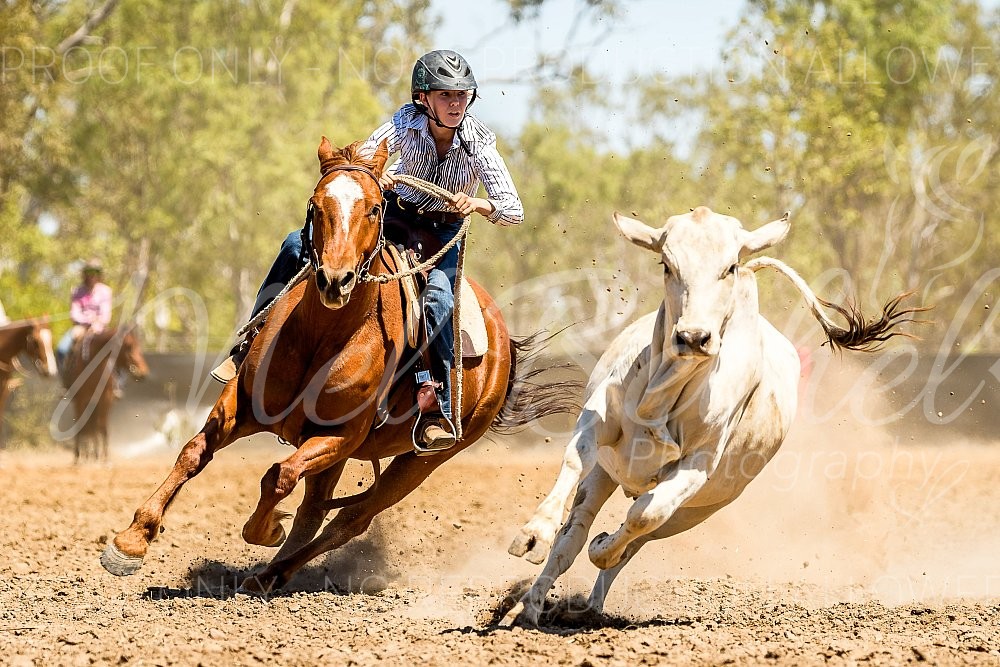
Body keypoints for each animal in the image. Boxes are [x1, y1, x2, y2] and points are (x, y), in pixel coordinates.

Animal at [61, 328, 148, 464]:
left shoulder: (105, 399)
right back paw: (84, 455)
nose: (143, 372)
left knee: (94, 427)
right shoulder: (80, 400)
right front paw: (78, 457)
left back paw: (94, 454)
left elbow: (102, 426)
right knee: (86, 427)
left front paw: (105, 459)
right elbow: (83, 426)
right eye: (128, 347)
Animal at [101, 138, 580, 592]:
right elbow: (193, 452)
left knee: (351, 519)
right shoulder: (244, 403)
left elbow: (278, 476)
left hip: (424, 460)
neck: (324, 335)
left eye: (373, 207)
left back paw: (276, 570)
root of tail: (504, 342)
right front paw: (131, 541)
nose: (336, 280)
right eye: (316, 205)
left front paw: (266, 529)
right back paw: (266, 574)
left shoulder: (342, 436)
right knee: (313, 510)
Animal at [504, 207, 916, 628]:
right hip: (608, 475)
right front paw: (533, 535)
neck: (665, 393)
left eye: (729, 266)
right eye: (667, 264)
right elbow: (576, 460)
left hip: (695, 510)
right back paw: (533, 606)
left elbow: (642, 517)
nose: (693, 337)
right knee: (573, 535)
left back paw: (591, 592)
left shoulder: (696, 468)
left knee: (637, 535)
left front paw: (604, 546)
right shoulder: (598, 420)